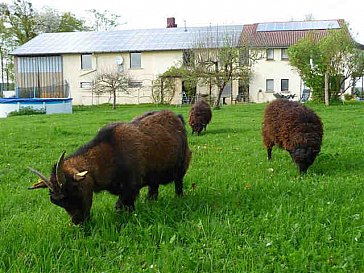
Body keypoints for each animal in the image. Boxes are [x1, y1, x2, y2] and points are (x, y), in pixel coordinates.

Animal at [28, 109, 193, 224]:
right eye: (56, 202)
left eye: (76, 189)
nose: (78, 221)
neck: (111, 151)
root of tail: (178, 117)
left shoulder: (130, 187)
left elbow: (121, 206)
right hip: (154, 174)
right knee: (154, 189)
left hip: (182, 164)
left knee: (178, 183)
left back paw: (179, 198)